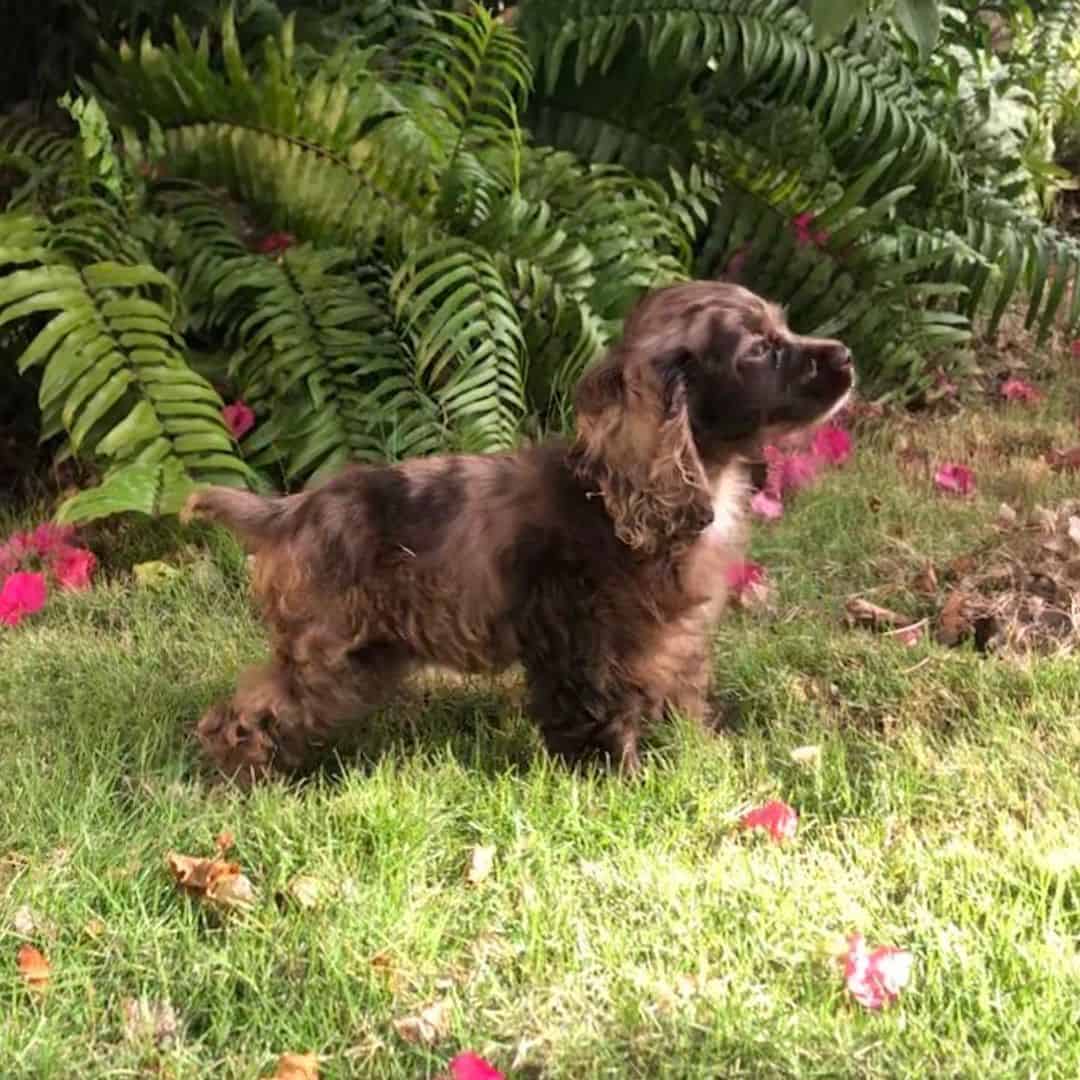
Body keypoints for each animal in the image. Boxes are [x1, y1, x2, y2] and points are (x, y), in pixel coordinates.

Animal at [185, 282, 855, 781]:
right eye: (758, 351)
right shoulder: (586, 643)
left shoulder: (671, 638)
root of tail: (291, 509)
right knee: (251, 711)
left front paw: (700, 753)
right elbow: (600, 717)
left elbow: (683, 695)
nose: (846, 356)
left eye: (784, 328)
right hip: (331, 652)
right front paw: (623, 783)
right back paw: (242, 776)